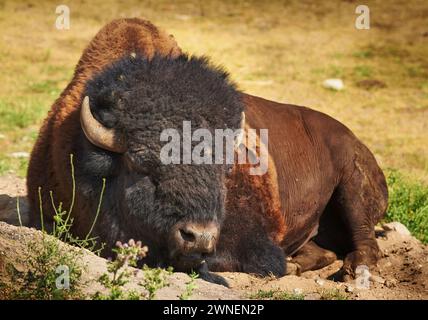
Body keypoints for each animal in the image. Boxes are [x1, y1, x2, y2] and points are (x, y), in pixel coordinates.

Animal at [25, 19, 388, 280]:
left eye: (225, 169)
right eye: (142, 165)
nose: (198, 237)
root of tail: (356, 141)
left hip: (352, 188)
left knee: (366, 241)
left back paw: (352, 272)